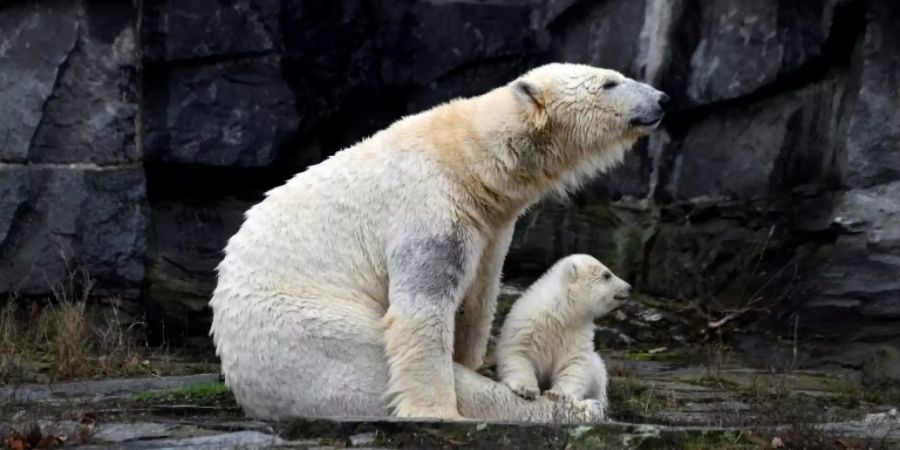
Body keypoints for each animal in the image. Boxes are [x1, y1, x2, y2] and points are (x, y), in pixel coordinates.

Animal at [496, 253, 628, 414]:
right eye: (607, 275)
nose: (629, 287)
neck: (560, 313)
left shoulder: (576, 333)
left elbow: (574, 363)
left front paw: (557, 394)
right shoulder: (527, 327)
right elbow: (519, 353)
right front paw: (527, 389)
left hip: (596, 367)